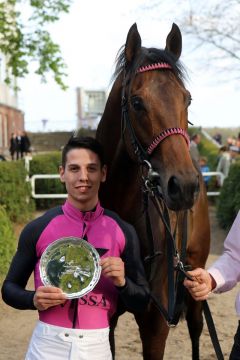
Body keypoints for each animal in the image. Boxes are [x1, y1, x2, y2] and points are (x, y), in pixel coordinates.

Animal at [95, 23, 210, 360]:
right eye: (136, 102)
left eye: (187, 99)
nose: (184, 186)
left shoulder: (156, 321)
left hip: (196, 276)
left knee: (196, 327)